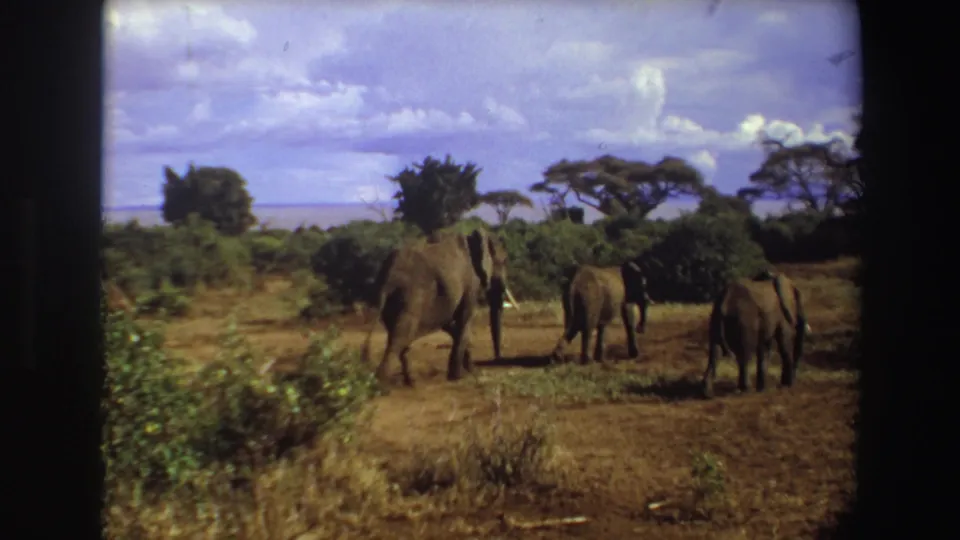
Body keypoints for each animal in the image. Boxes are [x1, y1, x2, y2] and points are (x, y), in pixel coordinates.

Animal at [360, 228, 518, 387]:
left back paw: (411, 382)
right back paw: (382, 384)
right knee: (400, 336)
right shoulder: (471, 282)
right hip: (412, 294)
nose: (498, 359)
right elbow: (464, 319)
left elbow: (450, 324)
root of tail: (387, 275)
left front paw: (472, 371)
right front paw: (458, 377)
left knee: (400, 335)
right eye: (503, 261)